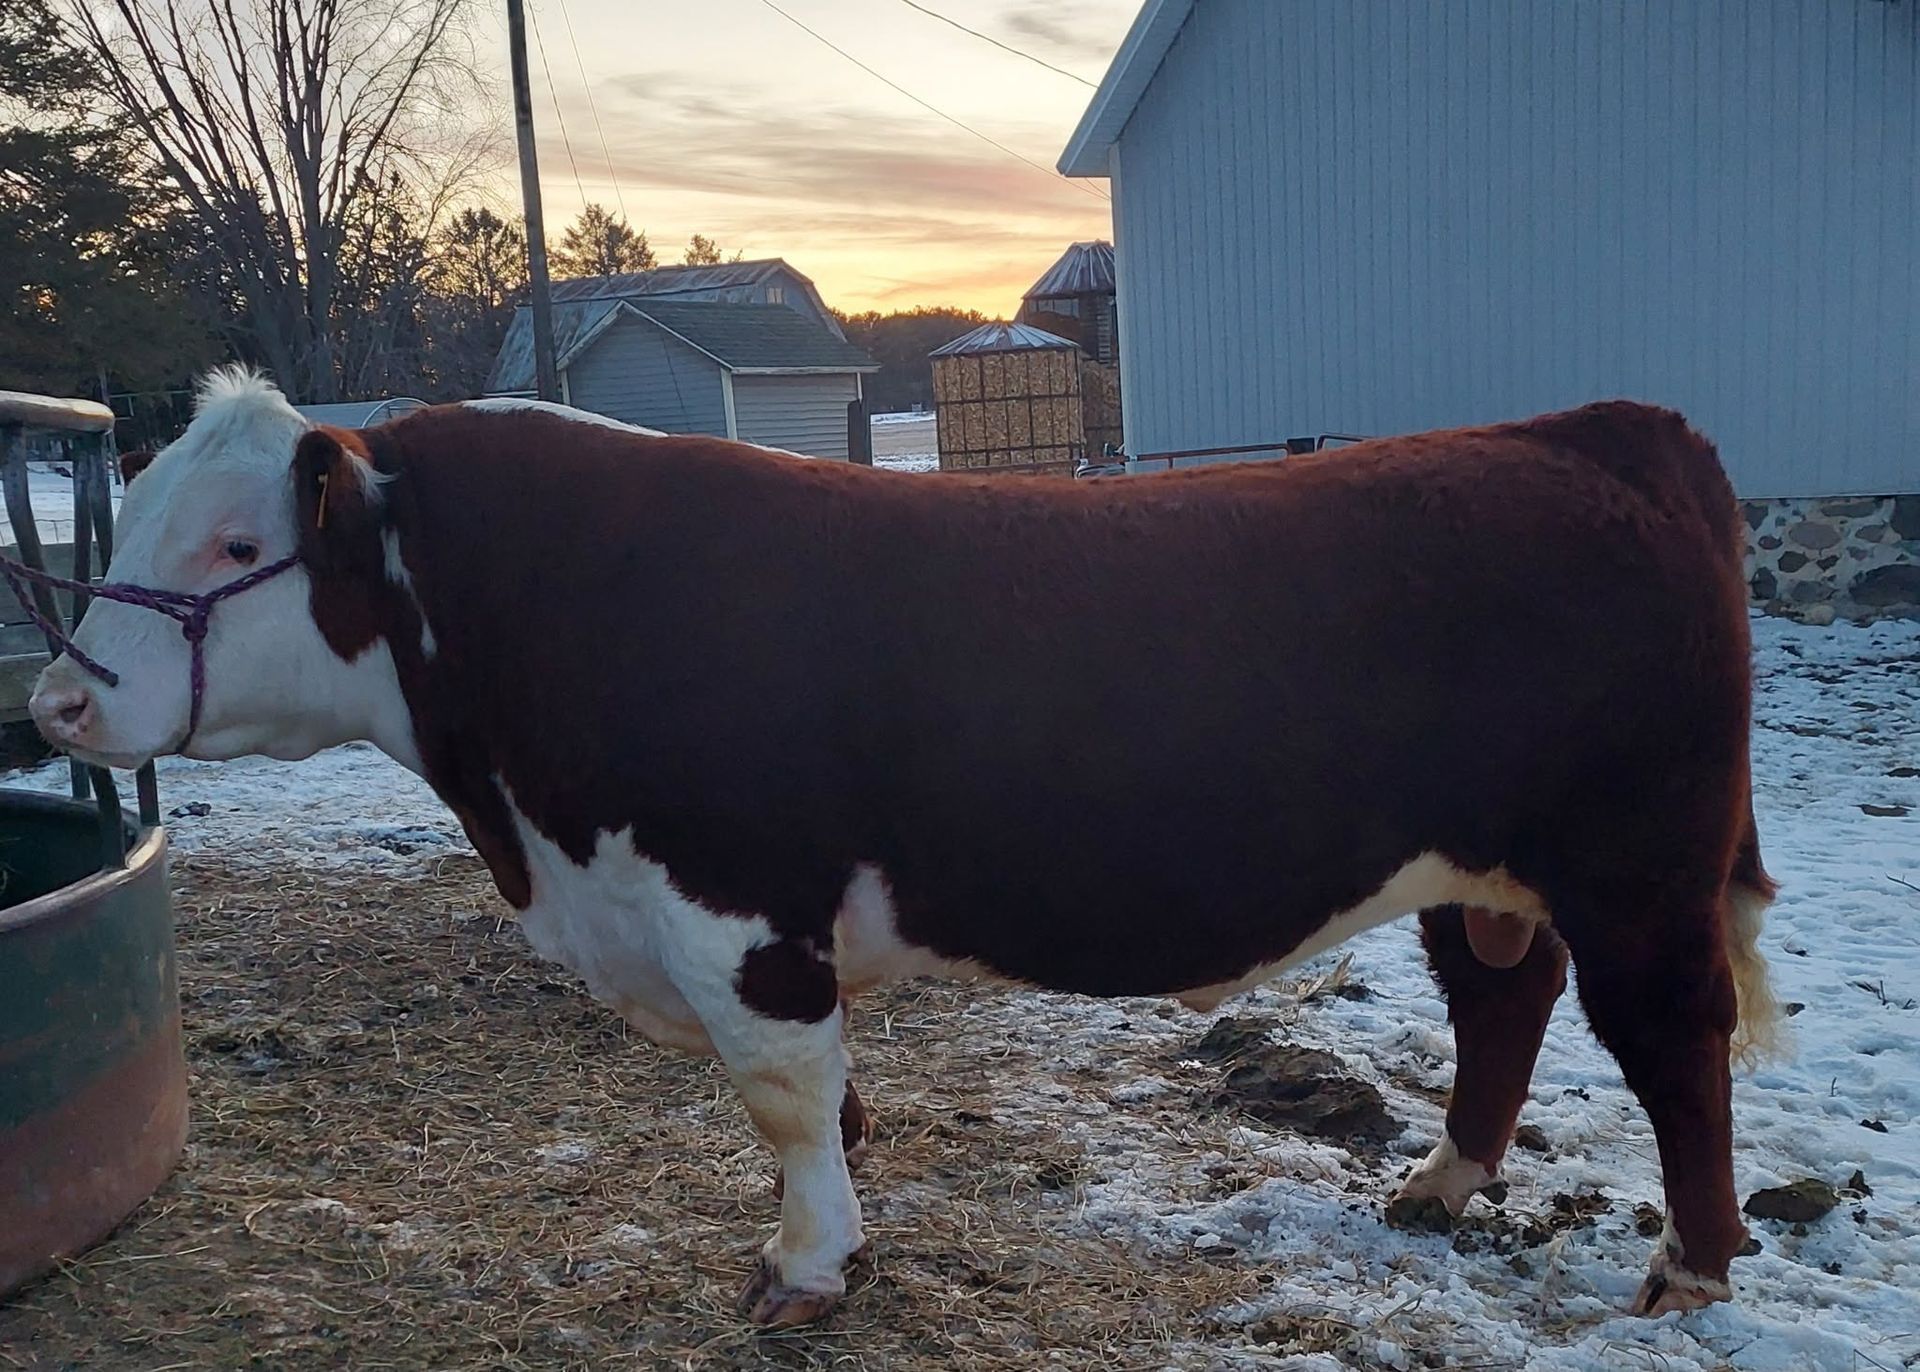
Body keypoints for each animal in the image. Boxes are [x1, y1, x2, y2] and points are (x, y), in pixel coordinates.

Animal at [31, 369, 1779, 1327]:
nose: (58, 698)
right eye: (136, 516)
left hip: (1638, 869)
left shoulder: (736, 910)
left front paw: (807, 1267)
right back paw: (1443, 1179)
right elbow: (824, 1103)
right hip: (1480, 869)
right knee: (1503, 994)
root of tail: (1597, 431)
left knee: (1671, 1039)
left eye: (237, 546)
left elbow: (783, 1097)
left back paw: (1693, 1269)